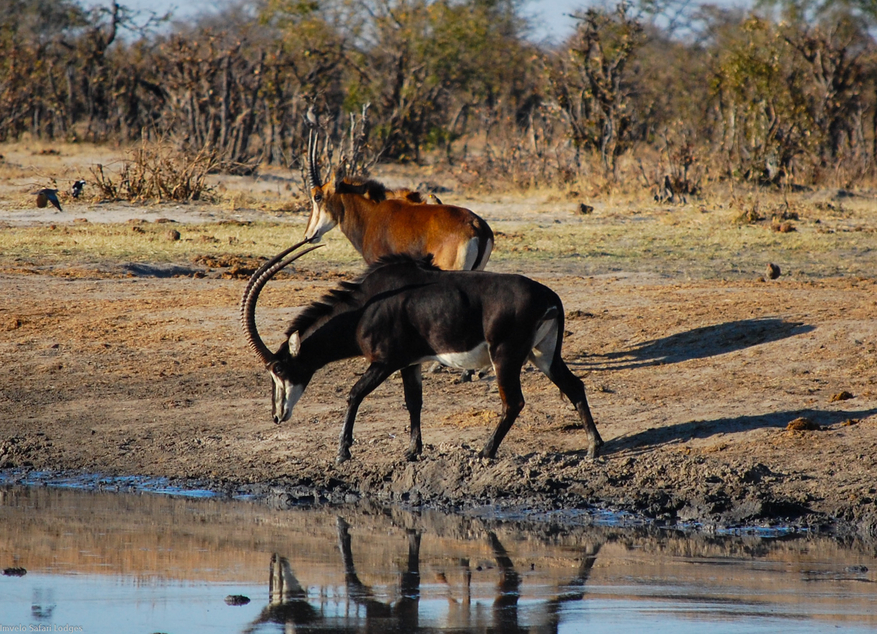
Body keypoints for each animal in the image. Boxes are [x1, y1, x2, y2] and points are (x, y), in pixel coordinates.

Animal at [238, 239, 604, 462]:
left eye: (279, 369)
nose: (277, 416)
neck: (364, 308)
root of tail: (550, 297)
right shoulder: (409, 363)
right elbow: (414, 402)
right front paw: (413, 451)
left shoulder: (384, 362)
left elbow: (354, 394)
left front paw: (343, 452)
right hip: (543, 355)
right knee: (574, 386)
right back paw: (593, 447)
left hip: (506, 357)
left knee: (513, 402)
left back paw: (485, 452)